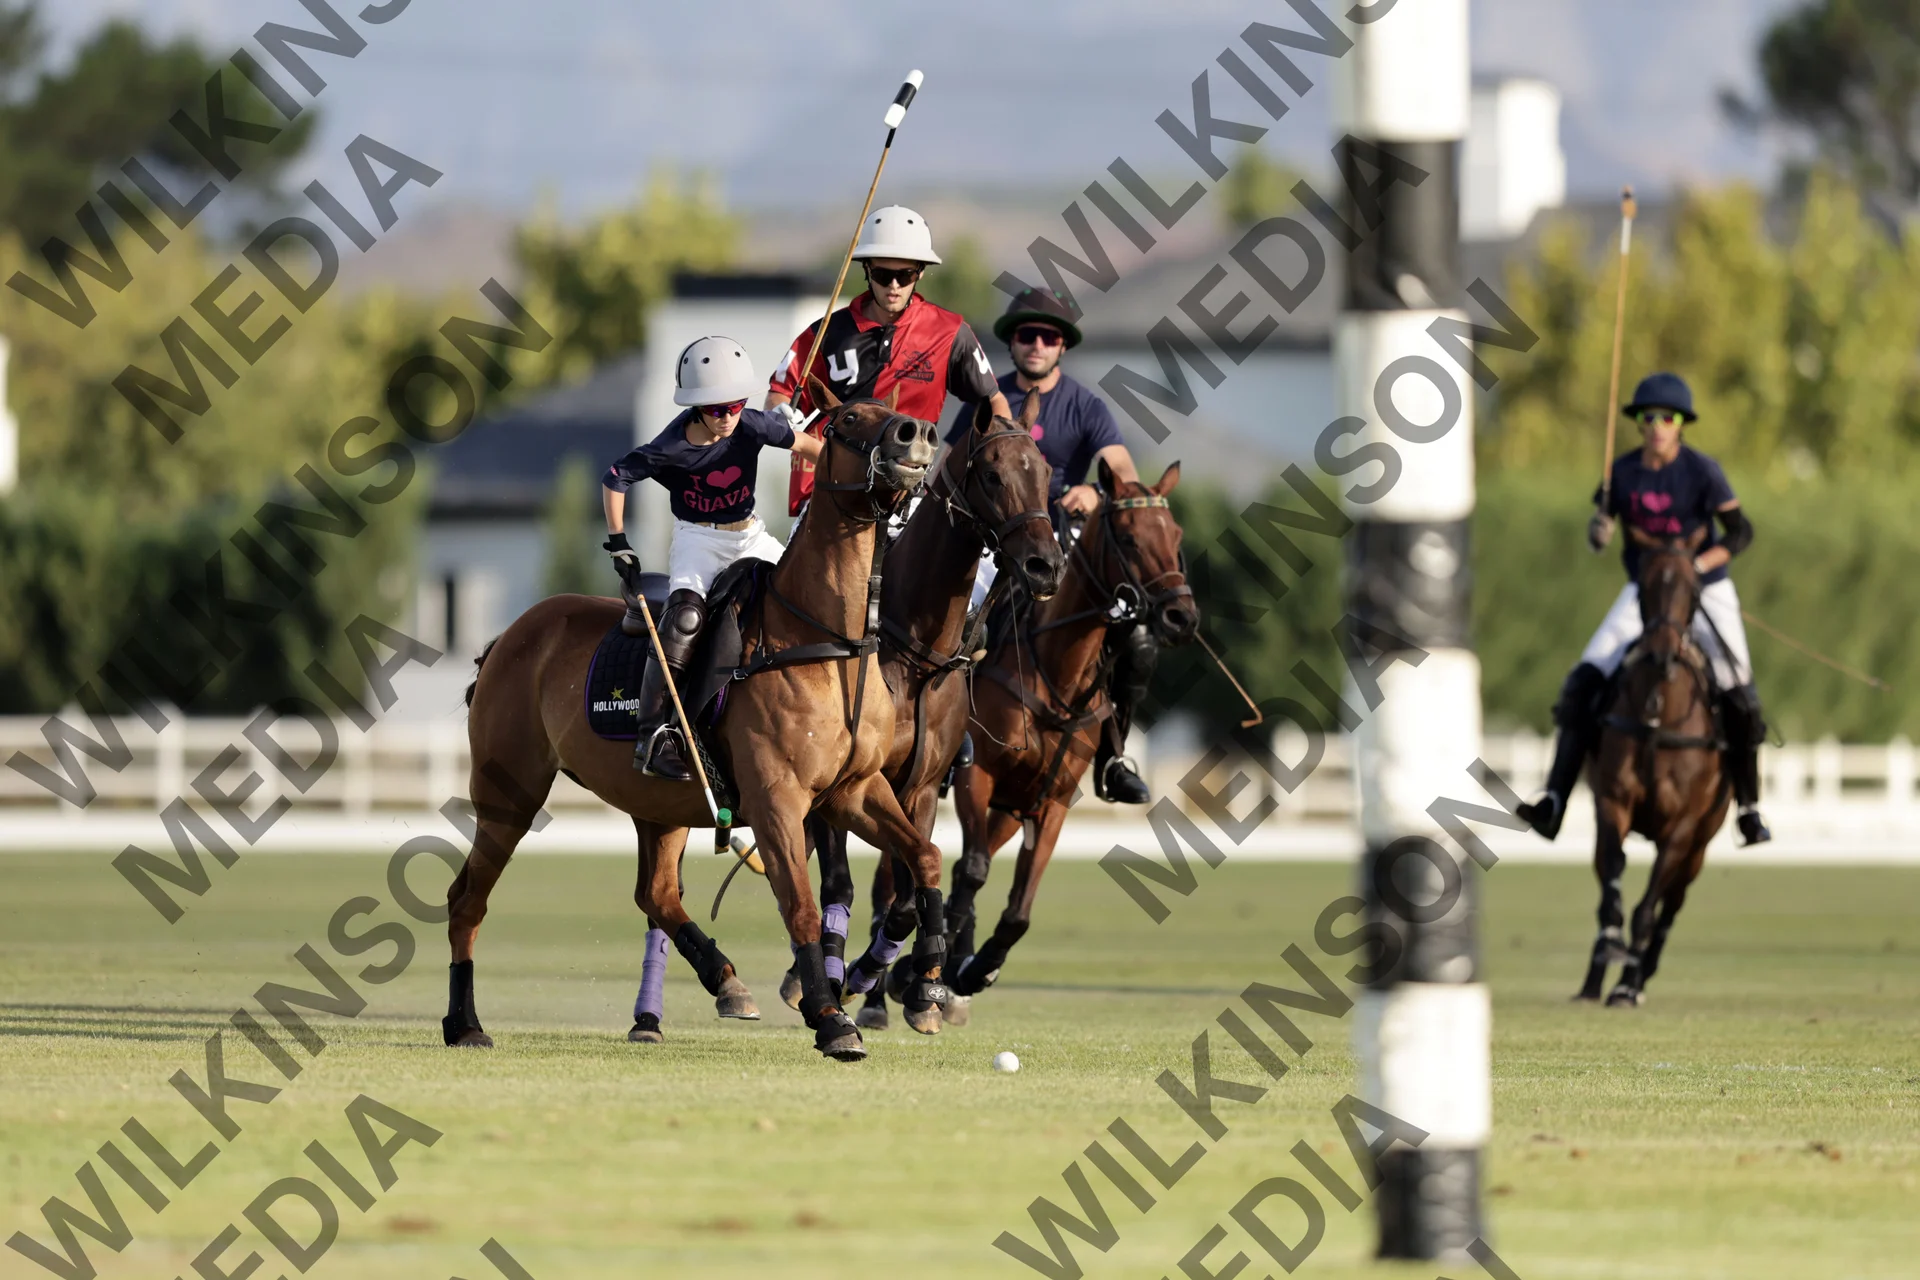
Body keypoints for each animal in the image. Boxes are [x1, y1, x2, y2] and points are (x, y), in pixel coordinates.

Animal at [444, 378, 942, 1061]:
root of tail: (507, 637)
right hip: (509, 793)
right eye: (845, 418)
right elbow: (802, 906)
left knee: (654, 891)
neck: (827, 642)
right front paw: (831, 1018)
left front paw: (931, 972)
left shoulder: (855, 791)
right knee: (468, 899)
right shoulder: (777, 800)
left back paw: (725, 981)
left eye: (889, 410)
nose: (915, 434)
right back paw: (464, 1023)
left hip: (658, 801)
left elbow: (925, 855)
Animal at [850, 460, 1197, 1027]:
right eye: (1128, 537)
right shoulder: (976, 775)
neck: (1056, 673)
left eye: (1177, 536)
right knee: (893, 880)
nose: (1181, 617)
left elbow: (1016, 911)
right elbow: (969, 871)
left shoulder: (1049, 800)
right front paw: (922, 976)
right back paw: (879, 996)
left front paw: (972, 970)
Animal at [1577, 525, 1731, 1007]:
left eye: (1693, 589)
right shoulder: (1612, 803)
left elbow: (1648, 910)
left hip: (1701, 843)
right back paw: (1595, 980)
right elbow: (1611, 892)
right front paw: (1606, 963)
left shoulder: (1682, 827)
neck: (1658, 711)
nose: (1663, 654)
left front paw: (1627, 987)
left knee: (1670, 905)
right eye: (1642, 587)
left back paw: (1641, 976)